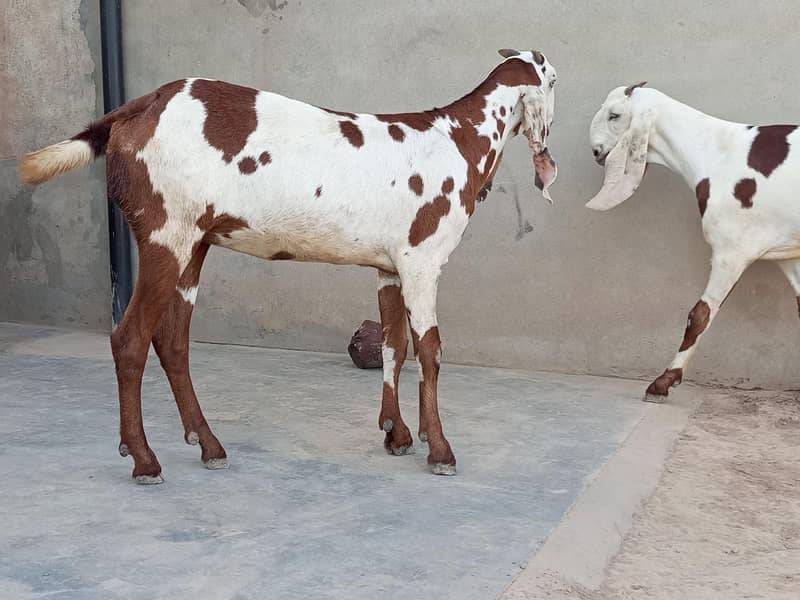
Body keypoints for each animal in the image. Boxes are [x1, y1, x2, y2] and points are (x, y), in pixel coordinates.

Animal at [18, 49, 557, 482]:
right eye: (553, 80)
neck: (457, 136)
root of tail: (137, 108)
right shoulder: (422, 262)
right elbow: (430, 351)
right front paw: (440, 449)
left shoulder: (390, 267)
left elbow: (394, 346)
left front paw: (399, 433)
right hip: (164, 238)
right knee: (129, 340)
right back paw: (145, 460)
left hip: (192, 246)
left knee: (172, 342)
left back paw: (208, 444)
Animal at [587, 83, 800, 402]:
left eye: (614, 114)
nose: (596, 150)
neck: (716, 152)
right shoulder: (787, 253)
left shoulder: (732, 251)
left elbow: (700, 314)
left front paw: (662, 382)